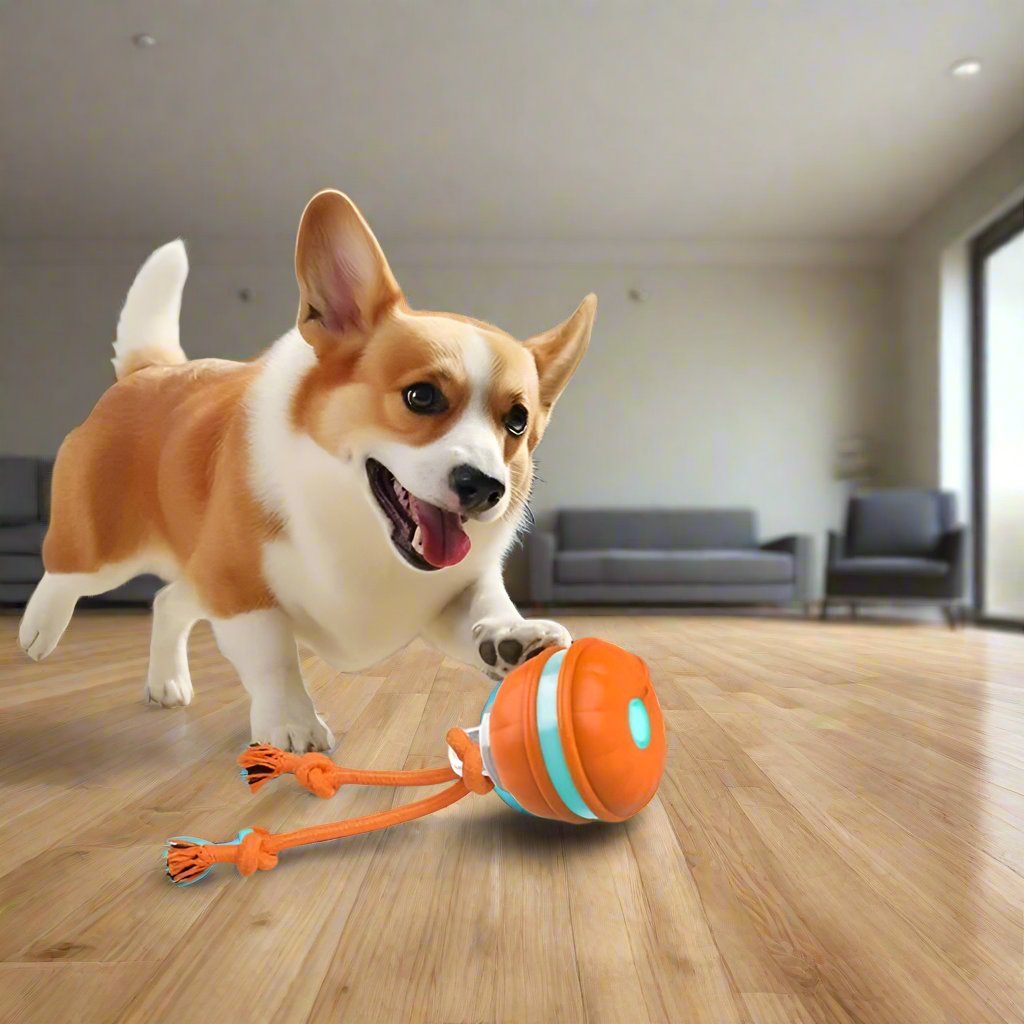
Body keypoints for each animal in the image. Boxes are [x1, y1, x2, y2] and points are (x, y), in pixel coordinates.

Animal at [16, 190, 598, 753]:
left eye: (517, 421)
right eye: (421, 396)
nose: (485, 489)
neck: (360, 530)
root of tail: (153, 369)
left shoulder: (447, 597)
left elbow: (485, 604)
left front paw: (510, 640)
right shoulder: (241, 586)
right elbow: (273, 656)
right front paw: (292, 723)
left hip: (197, 572)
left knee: (167, 600)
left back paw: (167, 683)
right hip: (107, 545)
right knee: (68, 567)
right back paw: (38, 629)